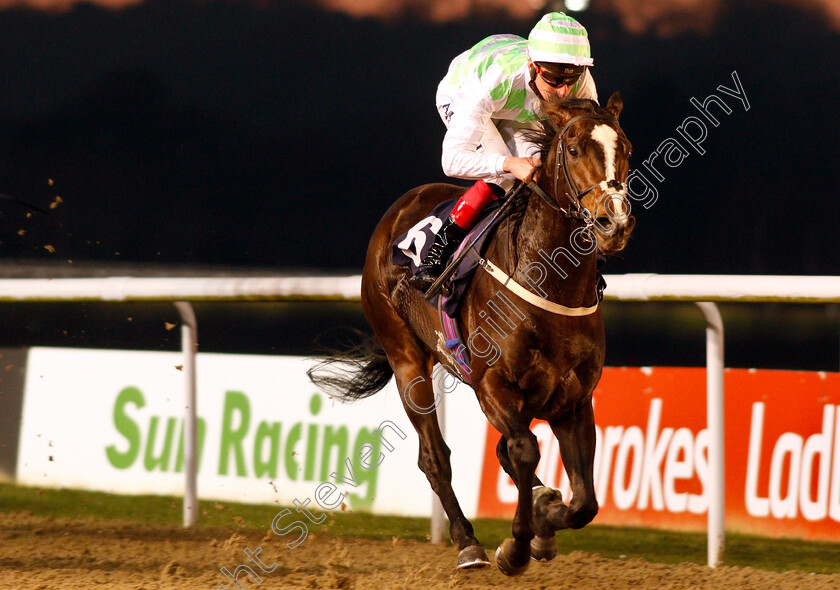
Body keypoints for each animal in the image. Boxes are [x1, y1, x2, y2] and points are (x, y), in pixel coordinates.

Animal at [312, 96, 632, 580]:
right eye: (574, 149)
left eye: (626, 148)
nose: (613, 223)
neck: (548, 282)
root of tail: (400, 209)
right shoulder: (493, 386)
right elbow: (523, 450)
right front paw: (516, 547)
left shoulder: (573, 400)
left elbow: (584, 503)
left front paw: (544, 520)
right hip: (407, 360)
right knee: (434, 456)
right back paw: (468, 543)